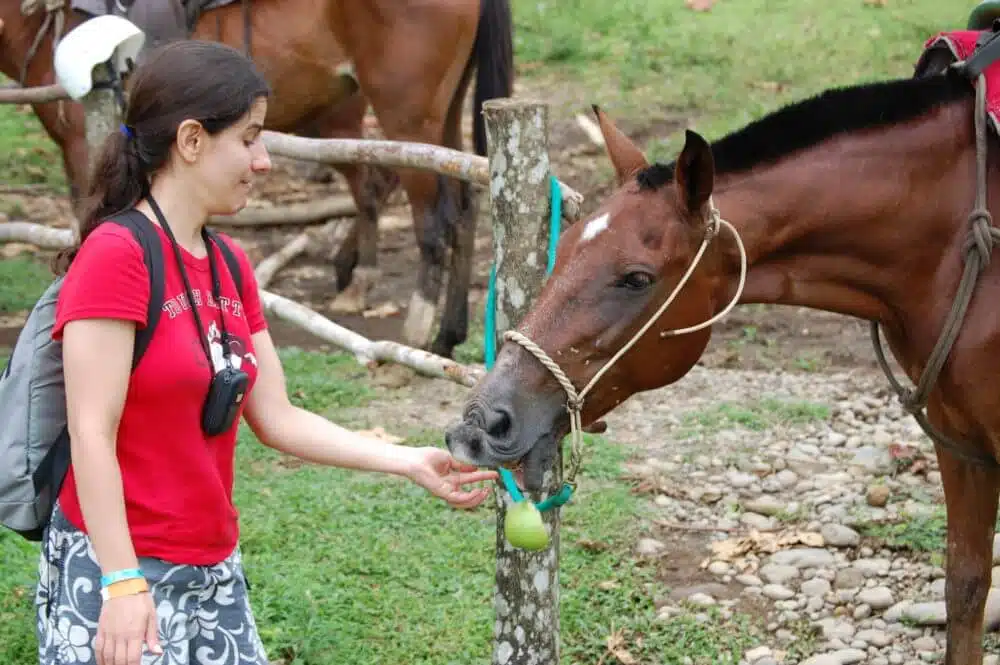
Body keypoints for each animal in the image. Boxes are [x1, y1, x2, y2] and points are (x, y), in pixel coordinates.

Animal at [0, 0, 514, 359]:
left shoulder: (79, 143)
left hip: (403, 112)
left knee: (433, 217)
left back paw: (417, 325)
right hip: (426, 112)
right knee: (458, 204)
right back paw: (444, 331)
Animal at [444, 34, 1000, 665]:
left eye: (636, 278)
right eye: (561, 253)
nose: (482, 421)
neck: (955, 249)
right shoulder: (959, 442)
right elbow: (964, 590)